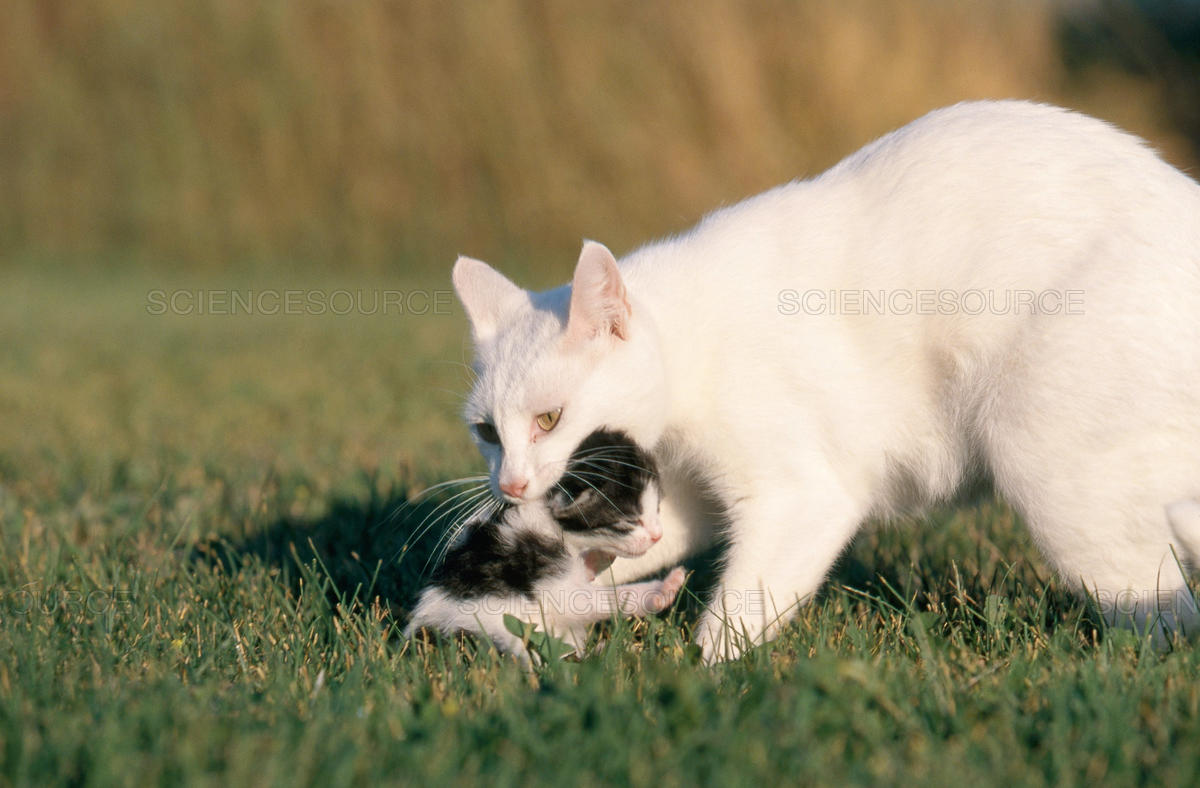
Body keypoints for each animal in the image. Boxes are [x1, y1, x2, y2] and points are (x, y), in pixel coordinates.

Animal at [448, 101, 1200, 662]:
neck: (690, 347)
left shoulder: (803, 493)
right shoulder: (691, 498)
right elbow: (627, 549)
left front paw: (704, 677)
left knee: (1169, 614)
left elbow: (740, 608)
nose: (510, 485)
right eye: (487, 432)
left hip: (1050, 468)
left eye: (549, 419)